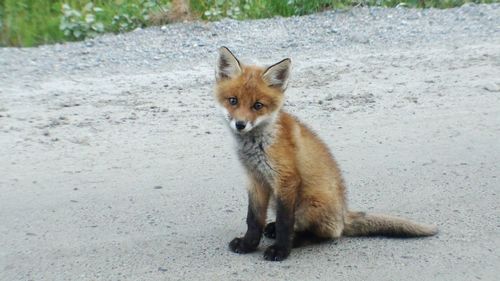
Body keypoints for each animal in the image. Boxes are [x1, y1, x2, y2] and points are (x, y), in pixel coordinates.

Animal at [215, 46, 438, 260]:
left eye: (258, 105)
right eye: (233, 101)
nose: (240, 124)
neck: (258, 144)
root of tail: (343, 214)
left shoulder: (286, 179)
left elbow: (285, 222)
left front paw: (281, 250)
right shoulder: (256, 180)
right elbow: (253, 219)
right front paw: (248, 244)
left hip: (309, 205)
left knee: (324, 234)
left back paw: (293, 239)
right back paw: (271, 229)